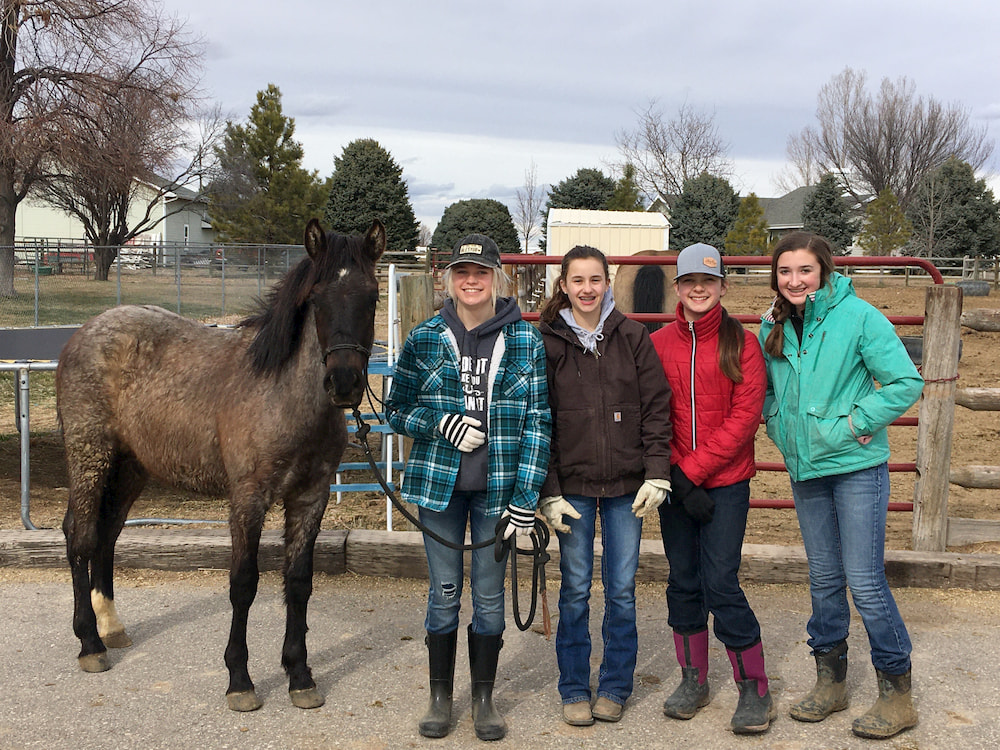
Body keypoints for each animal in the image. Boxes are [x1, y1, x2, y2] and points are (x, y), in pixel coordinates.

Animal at [57, 220, 386, 712]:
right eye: (317, 299)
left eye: (372, 297)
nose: (344, 383)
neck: (282, 395)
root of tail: (85, 332)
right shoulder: (248, 498)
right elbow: (244, 583)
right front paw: (240, 680)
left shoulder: (311, 497)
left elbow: (298, 581)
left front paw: (300, 675)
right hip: (89, 455)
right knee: (80, 535)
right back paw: (90, 644)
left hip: (130, 467)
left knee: (107, 532)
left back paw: (110, 626)